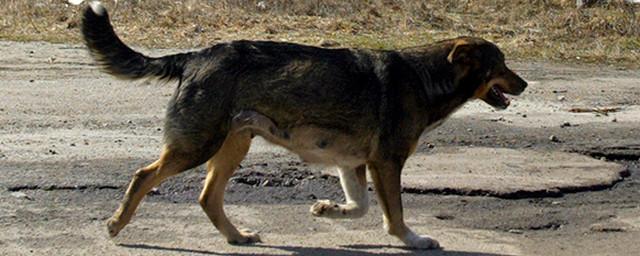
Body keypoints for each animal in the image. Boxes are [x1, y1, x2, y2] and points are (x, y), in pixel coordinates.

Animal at [82, 1, 528, 250]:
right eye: (502, 63)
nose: (525, 84)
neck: (425, 77)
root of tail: (197, 54)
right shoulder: (386, 163)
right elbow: (394, 215)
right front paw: (413, 241)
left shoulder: (352, 163)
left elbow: (361, 207)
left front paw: (329, 210)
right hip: (197, 146)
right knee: (143, 176)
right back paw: (117, 224)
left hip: (233, 146)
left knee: (208, 198)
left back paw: (237, 237)